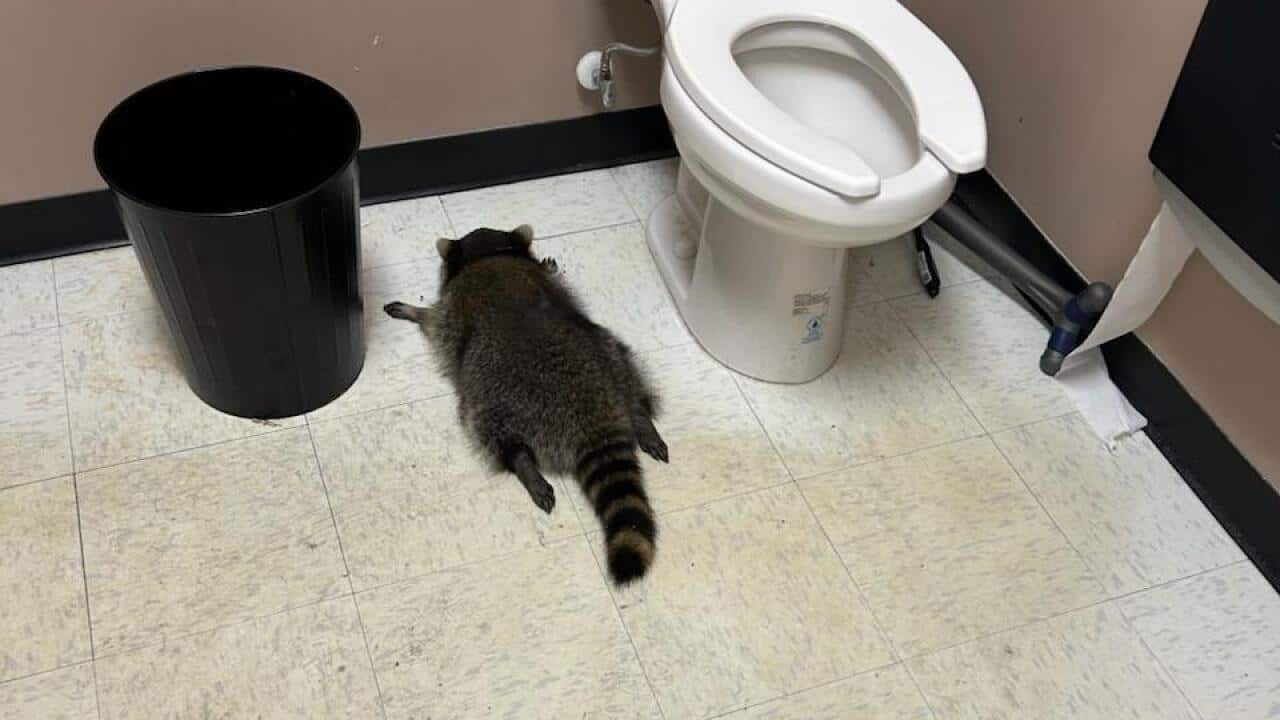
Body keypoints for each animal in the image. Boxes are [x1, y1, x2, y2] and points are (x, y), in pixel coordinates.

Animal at [383, 225, 667, 584]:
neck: (490, 254)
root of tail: (592, 412)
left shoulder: (451, 310)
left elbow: (434, 320)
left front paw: (414, 311)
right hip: (609, 353)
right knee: (627, 370)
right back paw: (641, 417)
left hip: (494, 396)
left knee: (490, 430)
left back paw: (522, 463)